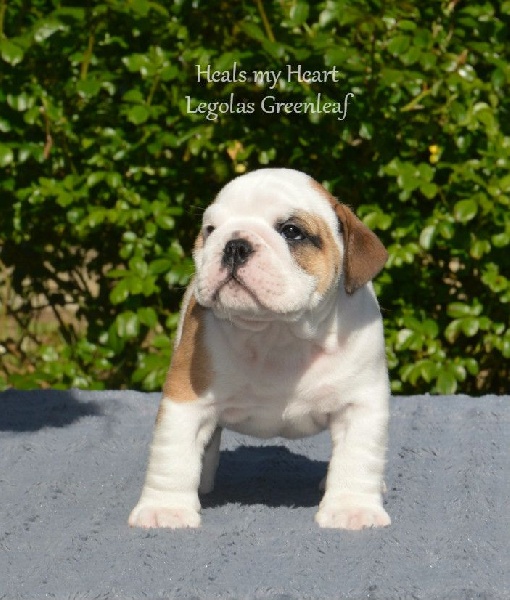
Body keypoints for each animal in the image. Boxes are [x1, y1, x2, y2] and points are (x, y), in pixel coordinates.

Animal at [129, 168, 391, 530]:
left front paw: (353, 508)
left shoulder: (359, 405)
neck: (277, 333)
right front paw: (165, 508)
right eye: (210, 230)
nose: (235, 245)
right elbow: (173, 455)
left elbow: (357, 458)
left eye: (291, 231)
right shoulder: (186, 400)